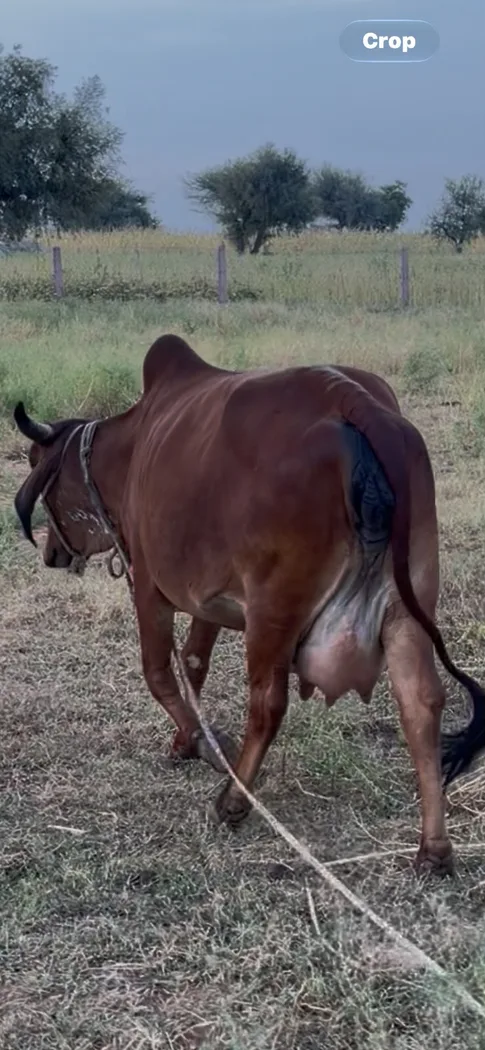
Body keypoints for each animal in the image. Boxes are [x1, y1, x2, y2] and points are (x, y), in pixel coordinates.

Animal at [12, 334, 485, 877]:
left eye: (39, 466)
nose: (51, 553)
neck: (128, 449)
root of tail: (355, 402)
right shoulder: (207, 598)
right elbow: (193, 665)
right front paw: (187, 740)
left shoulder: (150, 586)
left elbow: (159, 672)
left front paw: (203, 744)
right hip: (407, 606)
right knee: (421, 704)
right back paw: (434, 849)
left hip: (273, 610)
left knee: (267, 705)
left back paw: (234, 799)